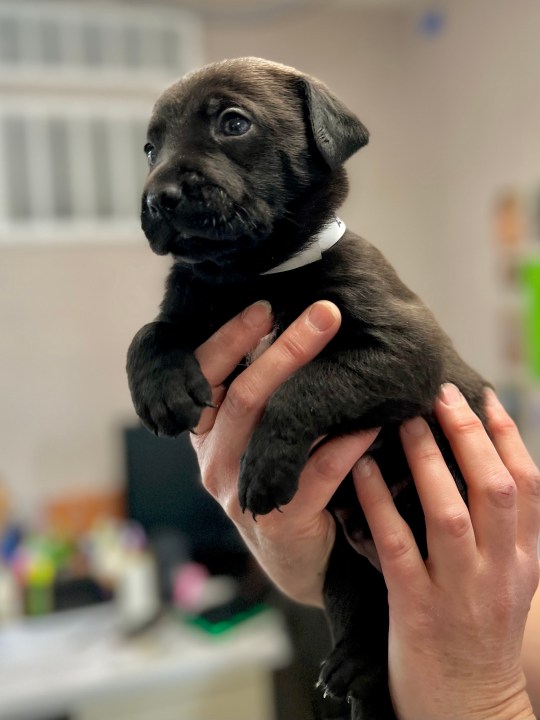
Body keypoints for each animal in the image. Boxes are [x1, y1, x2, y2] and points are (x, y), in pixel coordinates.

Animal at [127, 57, 490, 720]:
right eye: (149, 148)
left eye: (233, 123)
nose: (157, 197)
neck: (253, 275)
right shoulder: (192, 297)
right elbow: (151, 330)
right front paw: (161, 390)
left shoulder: (405, 350)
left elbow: (305, 385)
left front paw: (265, 464)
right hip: (343, 569)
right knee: (368, 613)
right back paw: (356, 668)